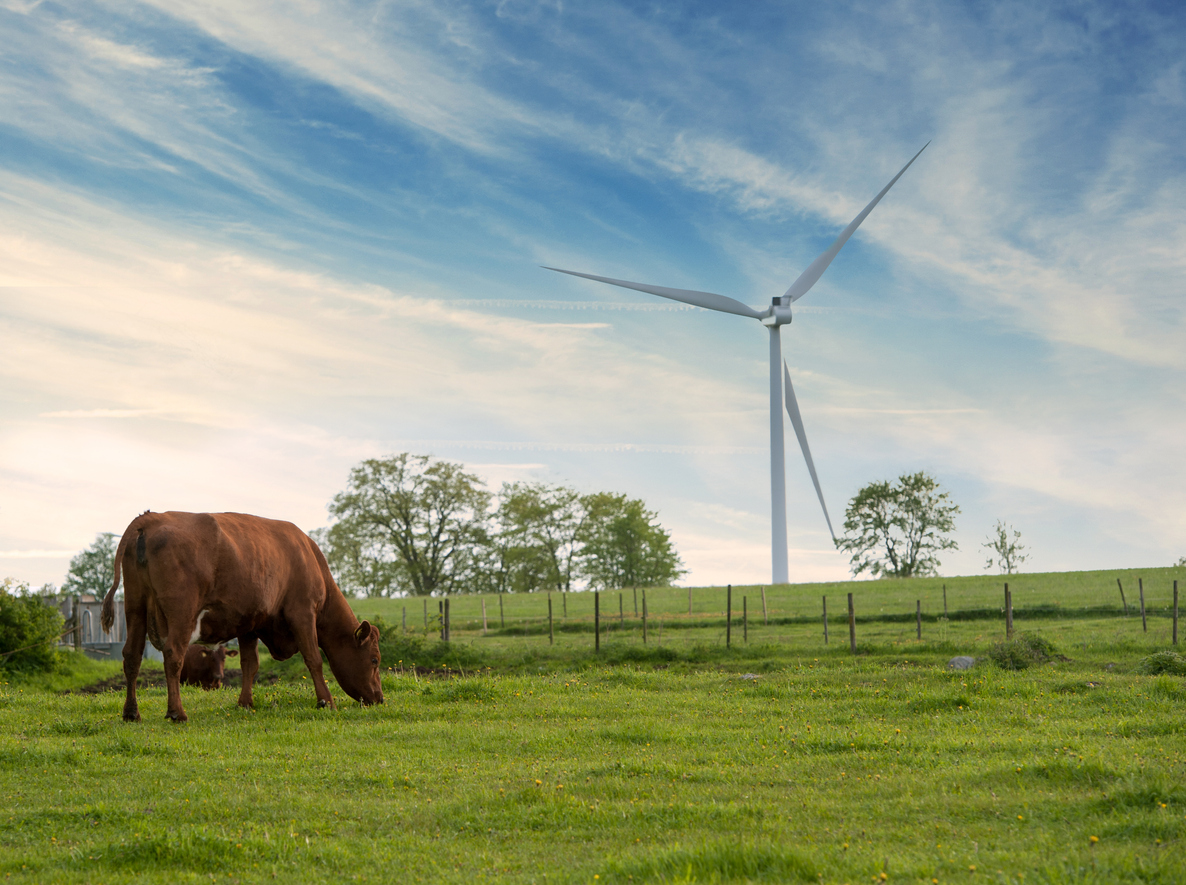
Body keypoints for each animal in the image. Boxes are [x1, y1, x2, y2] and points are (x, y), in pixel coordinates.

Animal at [100, 510, 382, 722]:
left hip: (135, 608)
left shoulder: (249, 623)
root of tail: (151, 517)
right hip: (181, 611)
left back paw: (131, 713)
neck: (308, 556)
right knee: (173, 655)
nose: (380, 698)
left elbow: (250, 664)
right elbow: (314, 659)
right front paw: (326, 701)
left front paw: (245, 703)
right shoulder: (302, 613)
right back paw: (177, 712)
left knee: (132, 656)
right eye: (375, 660)